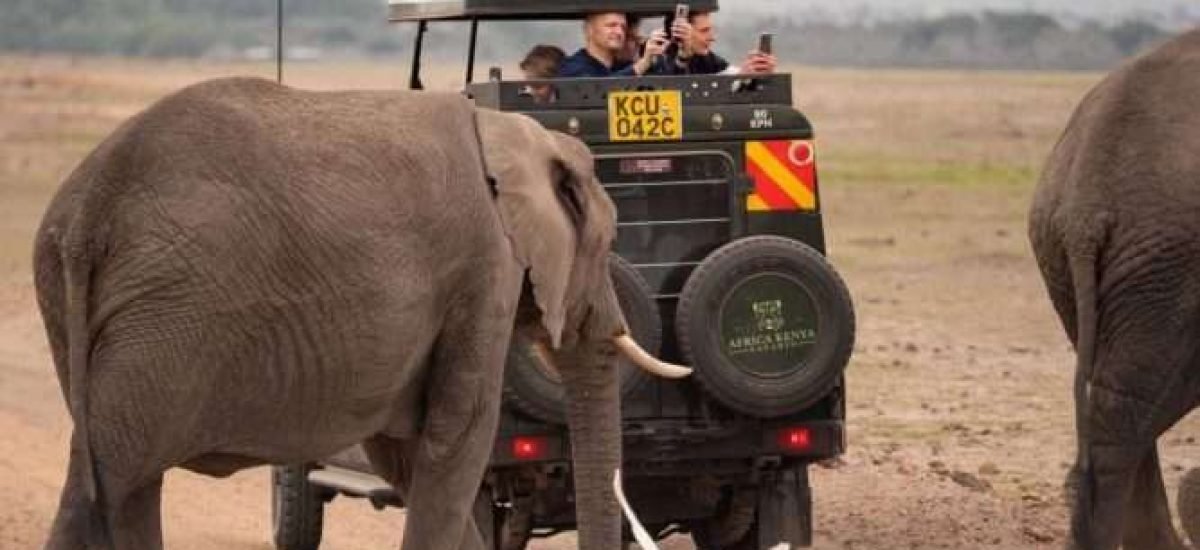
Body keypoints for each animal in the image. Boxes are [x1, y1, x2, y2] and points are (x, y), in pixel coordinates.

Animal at [33, 76, 688, 550]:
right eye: (607, 242)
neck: (511, 131)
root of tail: (88, 212)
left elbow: (407, 455)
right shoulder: (483, 269)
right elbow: (457, 437)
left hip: (80, 311)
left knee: (124, 491)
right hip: (163, 322)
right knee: (109, 485)